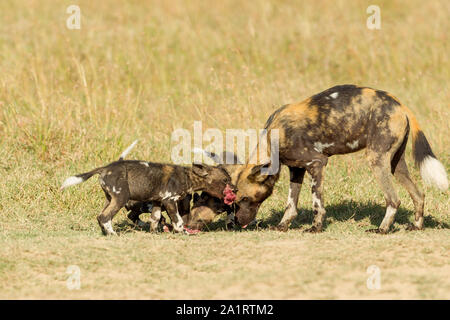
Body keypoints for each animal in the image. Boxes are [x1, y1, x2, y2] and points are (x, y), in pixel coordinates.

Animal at [60, 142, 236, 235]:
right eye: (225, 180)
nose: (235, 189)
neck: (188, 177)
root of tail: (104, 168)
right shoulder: (169, 201)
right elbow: (178, 220)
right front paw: (182, 232)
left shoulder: (158, 202)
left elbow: (155, 218)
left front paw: (155, 232)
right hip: (121, 198)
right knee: (104, 216)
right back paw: (113, 234)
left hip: (110, 199)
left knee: (100, 216)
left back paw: (105, 232)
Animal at [232, 84, 446, 234]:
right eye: (234, 201)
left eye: (245, 198)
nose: (237, 221)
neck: (272, 139)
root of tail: (399, 104)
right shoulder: (296, 170)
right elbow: (291, 205)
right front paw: (282, 226)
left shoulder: (317, 163)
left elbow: (317, 203)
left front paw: (315, 228)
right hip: (396, 165)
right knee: (418, 195)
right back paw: (416, 226)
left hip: (376, 160)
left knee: (393, 200)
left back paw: (382, 229)